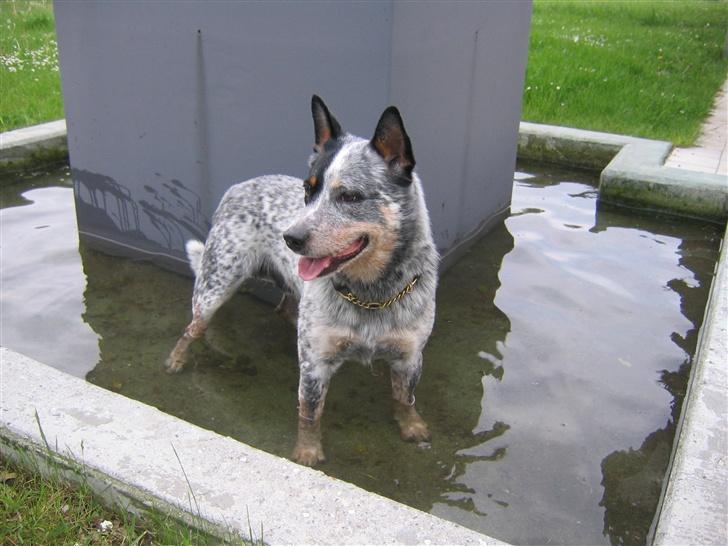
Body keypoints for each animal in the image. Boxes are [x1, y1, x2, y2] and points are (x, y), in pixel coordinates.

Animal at [166, 94, 438, 464]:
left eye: (350, 196)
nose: (290, 238)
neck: (372, 293)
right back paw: (177, 358)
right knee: (193, 326)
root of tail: (238, 186)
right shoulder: (315, 363)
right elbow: (310, 412)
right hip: (216, 284)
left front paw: (411, 426)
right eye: (308, 191)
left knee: (284, 307)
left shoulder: (409, 356)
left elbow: (404, 398)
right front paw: (307, 453)